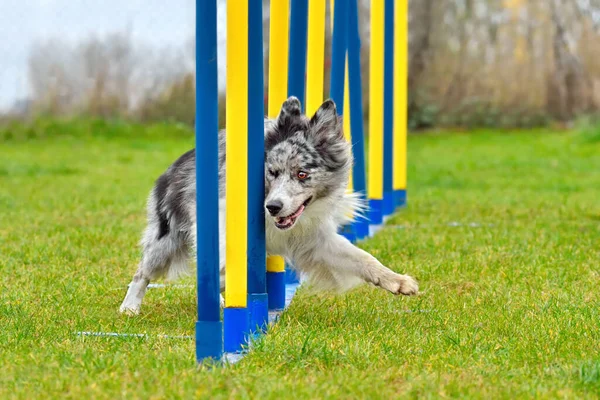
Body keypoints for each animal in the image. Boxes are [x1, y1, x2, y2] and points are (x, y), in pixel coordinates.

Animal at [117, 97, 418, 316]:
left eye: (302, 174)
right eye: (271, 172)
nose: (274, 206)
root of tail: (175, 164)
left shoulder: (314, 241)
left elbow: (362, 258)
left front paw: (398, 281)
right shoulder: (224, 215)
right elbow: (228, 254)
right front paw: (228, 279)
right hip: (166, 238)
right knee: (143, 271)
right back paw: (129, 307)